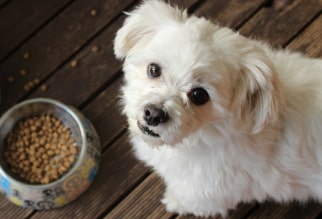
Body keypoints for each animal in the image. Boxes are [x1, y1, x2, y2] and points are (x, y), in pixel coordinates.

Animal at [113, 0, 322, 216]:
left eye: (199, 95)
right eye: (153, 69)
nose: (153, 114)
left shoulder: (206, 193)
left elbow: (189, 199)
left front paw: (173, 200)